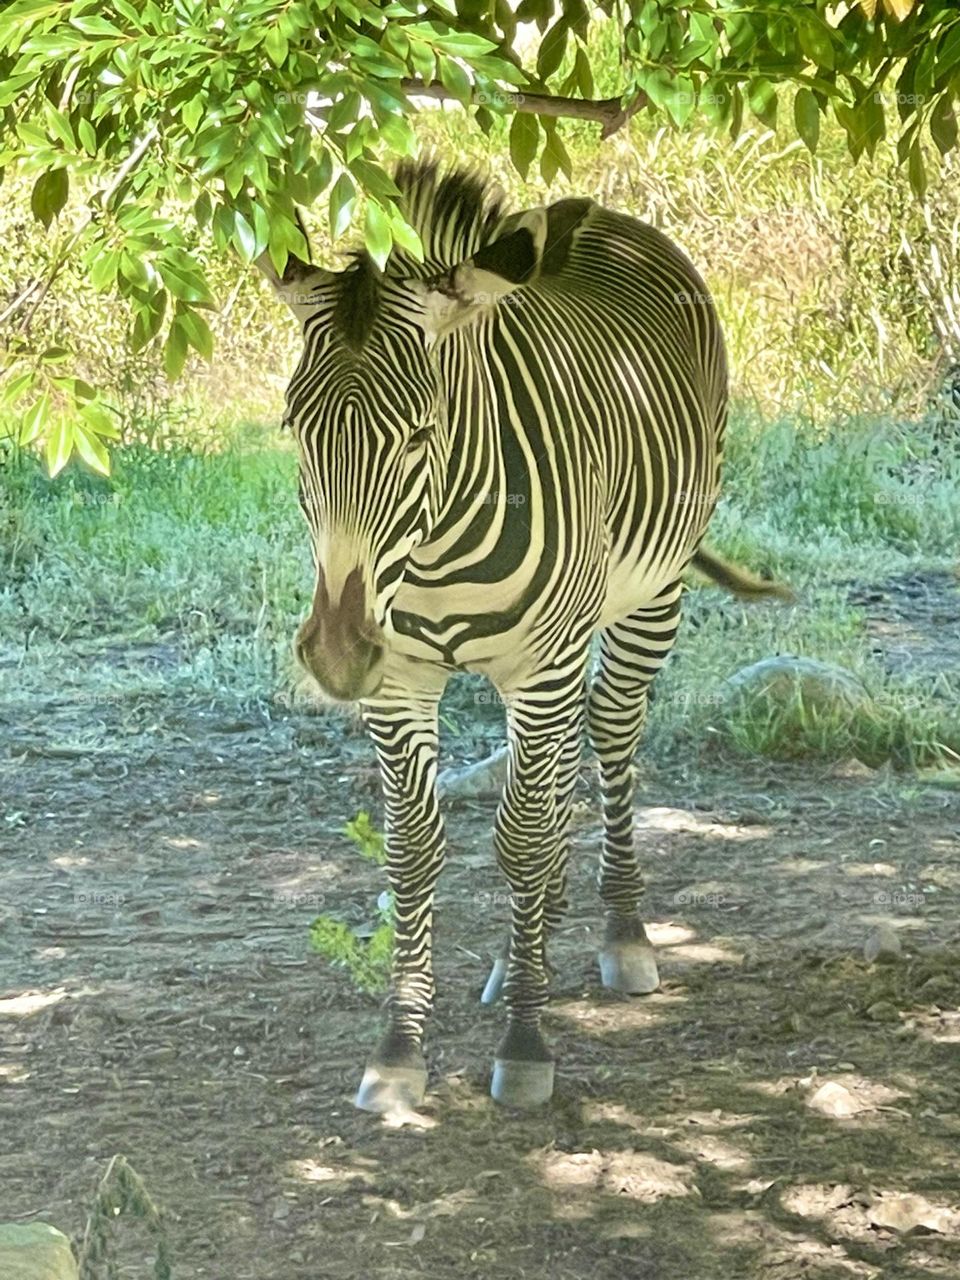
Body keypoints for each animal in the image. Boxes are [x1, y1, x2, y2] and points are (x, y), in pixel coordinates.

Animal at [257, 162, 790, 1113]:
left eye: (421, 432)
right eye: (295, 428)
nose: (339, 654)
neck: (432, 553)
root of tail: (604, 215)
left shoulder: (541, 663)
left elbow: (521, 840)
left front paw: (528, 1041)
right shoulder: (402, 681)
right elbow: (415, 849)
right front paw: (401, 1049)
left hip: (648, 595)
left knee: (608, 730)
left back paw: (620, 932)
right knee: (554, 768)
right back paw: (523, 953)